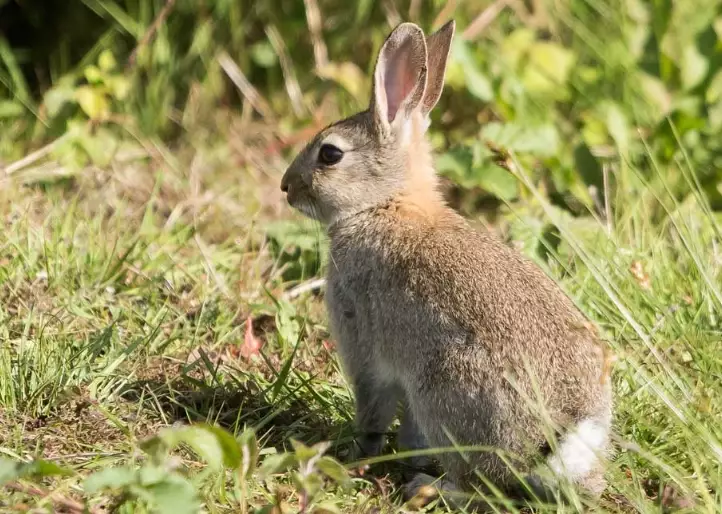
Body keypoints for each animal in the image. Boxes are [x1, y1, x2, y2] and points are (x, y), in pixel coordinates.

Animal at [280, 20, 613, 509]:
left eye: (330, 154)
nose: (286, 187)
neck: (385, 203)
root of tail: (566, 436)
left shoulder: (364, 347)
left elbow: (373, 413)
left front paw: (357, 457)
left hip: (447, 389)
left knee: (478, 485)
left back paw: (428, 487)